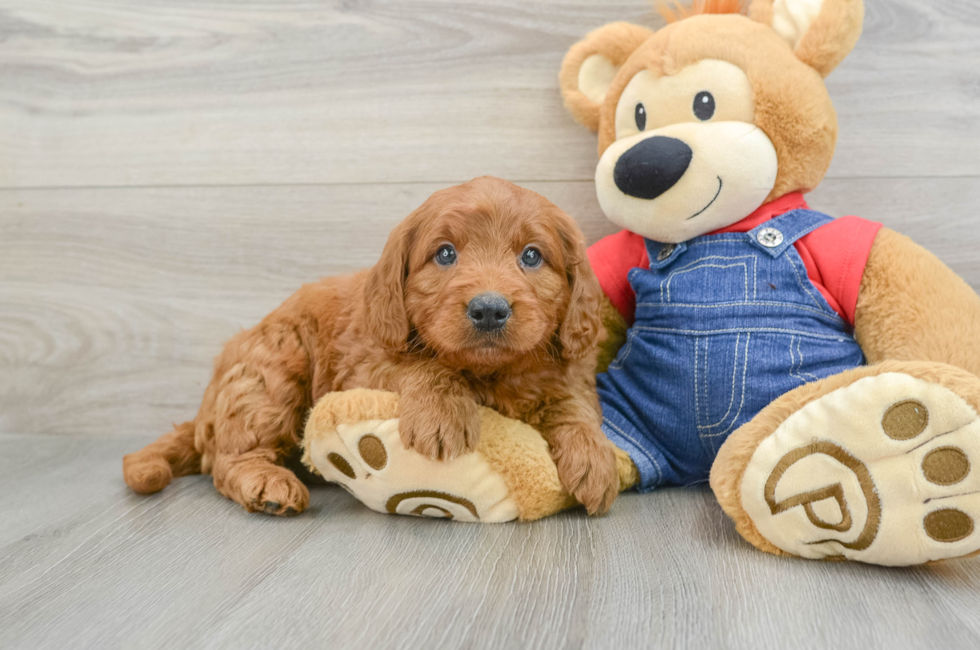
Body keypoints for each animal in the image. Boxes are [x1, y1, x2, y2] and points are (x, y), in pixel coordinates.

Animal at [122, 175, 620, 512]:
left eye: (532, 256)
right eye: (445, 253)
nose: (489, 309)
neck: (487, 372)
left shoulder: (568, 364)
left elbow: (574, 405)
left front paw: (593, 458)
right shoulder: (366, 363)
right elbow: (424, 367)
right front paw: (442, 413)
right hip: (272, 372)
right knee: (228, 459)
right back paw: (267, 484)